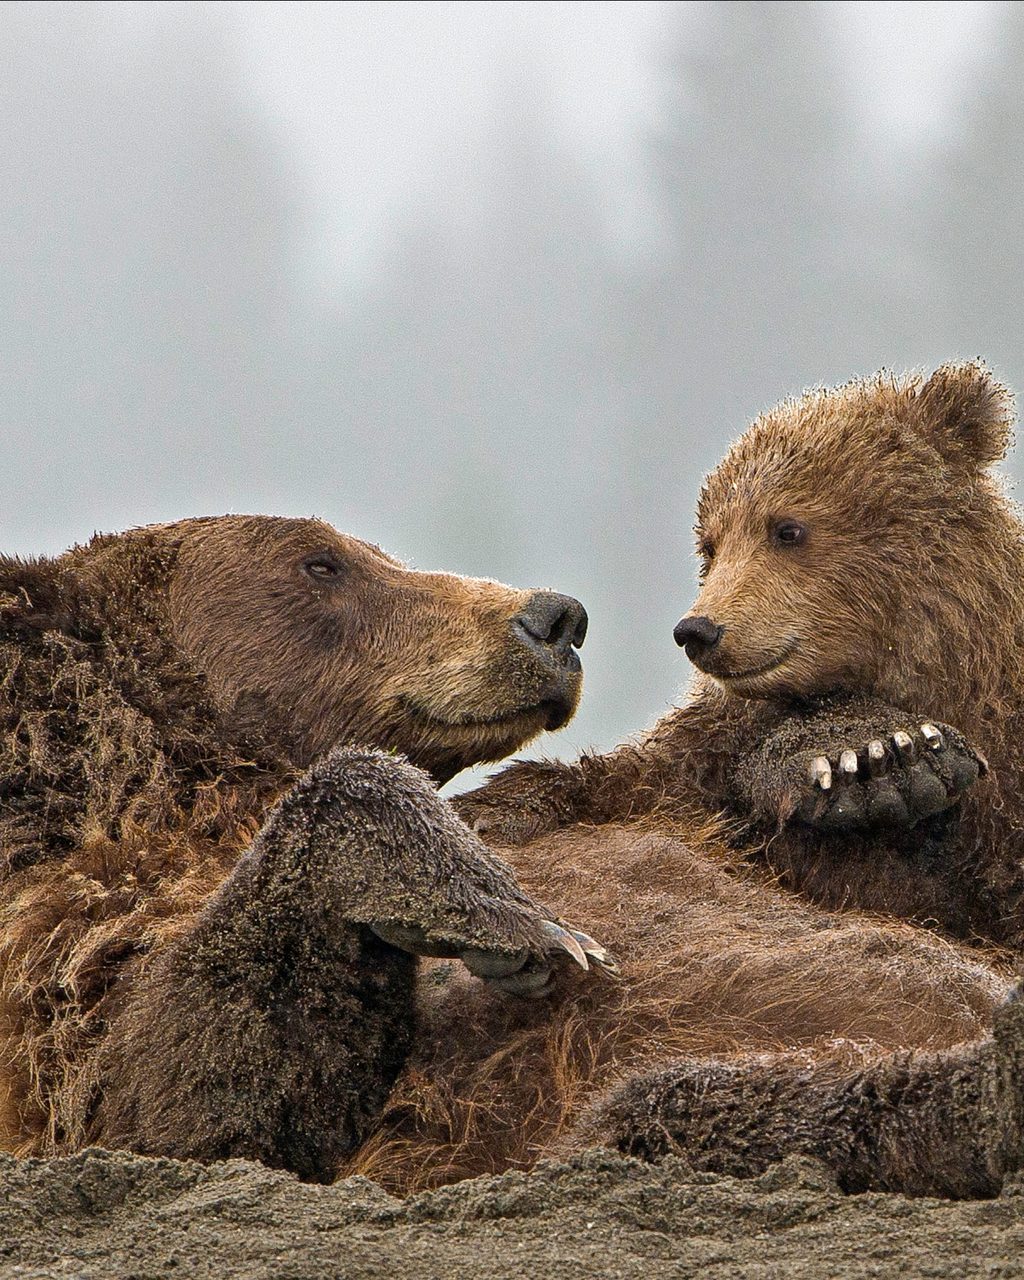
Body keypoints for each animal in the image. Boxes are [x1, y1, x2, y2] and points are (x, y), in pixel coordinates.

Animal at [0, 514, 611, 1181]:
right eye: (321, 563)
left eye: (384, 556)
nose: (557, 618)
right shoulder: (63, 937)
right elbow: (167, 1084)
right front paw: (516, 921)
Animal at [347, 363, 1024, 1198]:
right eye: (711, 543)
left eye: (786, 527)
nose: (699, 628)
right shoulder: (687, 780)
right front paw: (874, 758)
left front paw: (888, 760)